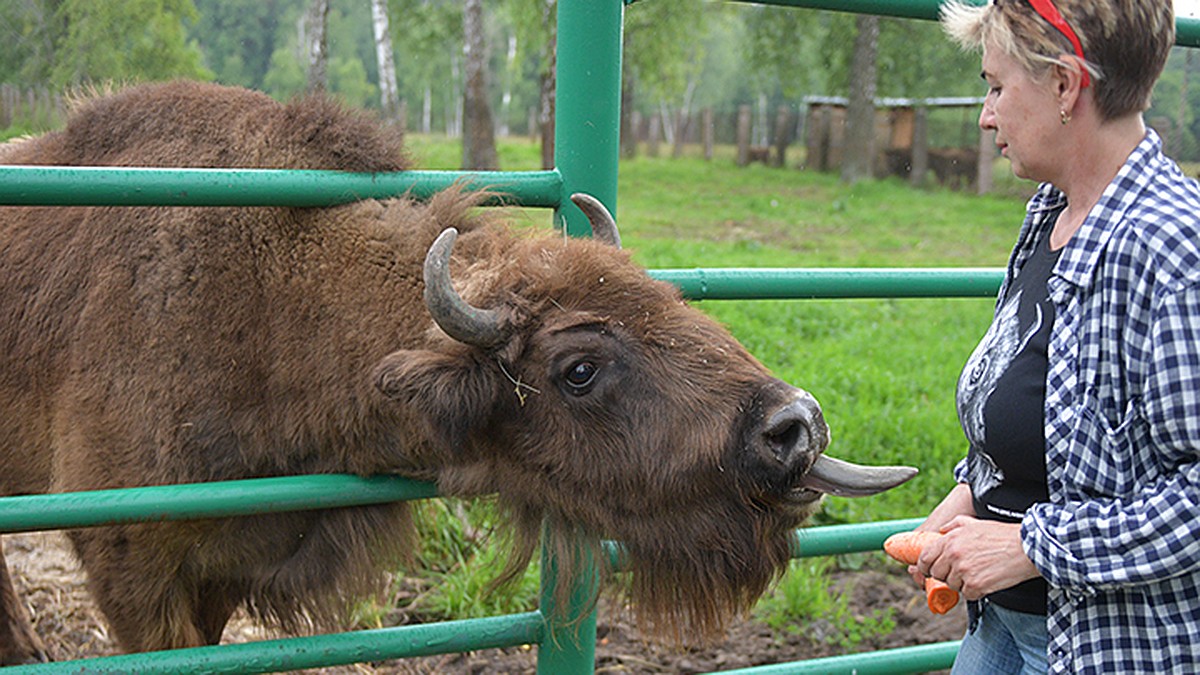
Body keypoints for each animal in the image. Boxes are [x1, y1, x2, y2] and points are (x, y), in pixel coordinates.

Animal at [0, 79, 916, 662]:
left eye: (662, 295)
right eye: (577, 367)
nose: (793, 427)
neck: (272, 303)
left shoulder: (227, 564)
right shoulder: (132, 567)